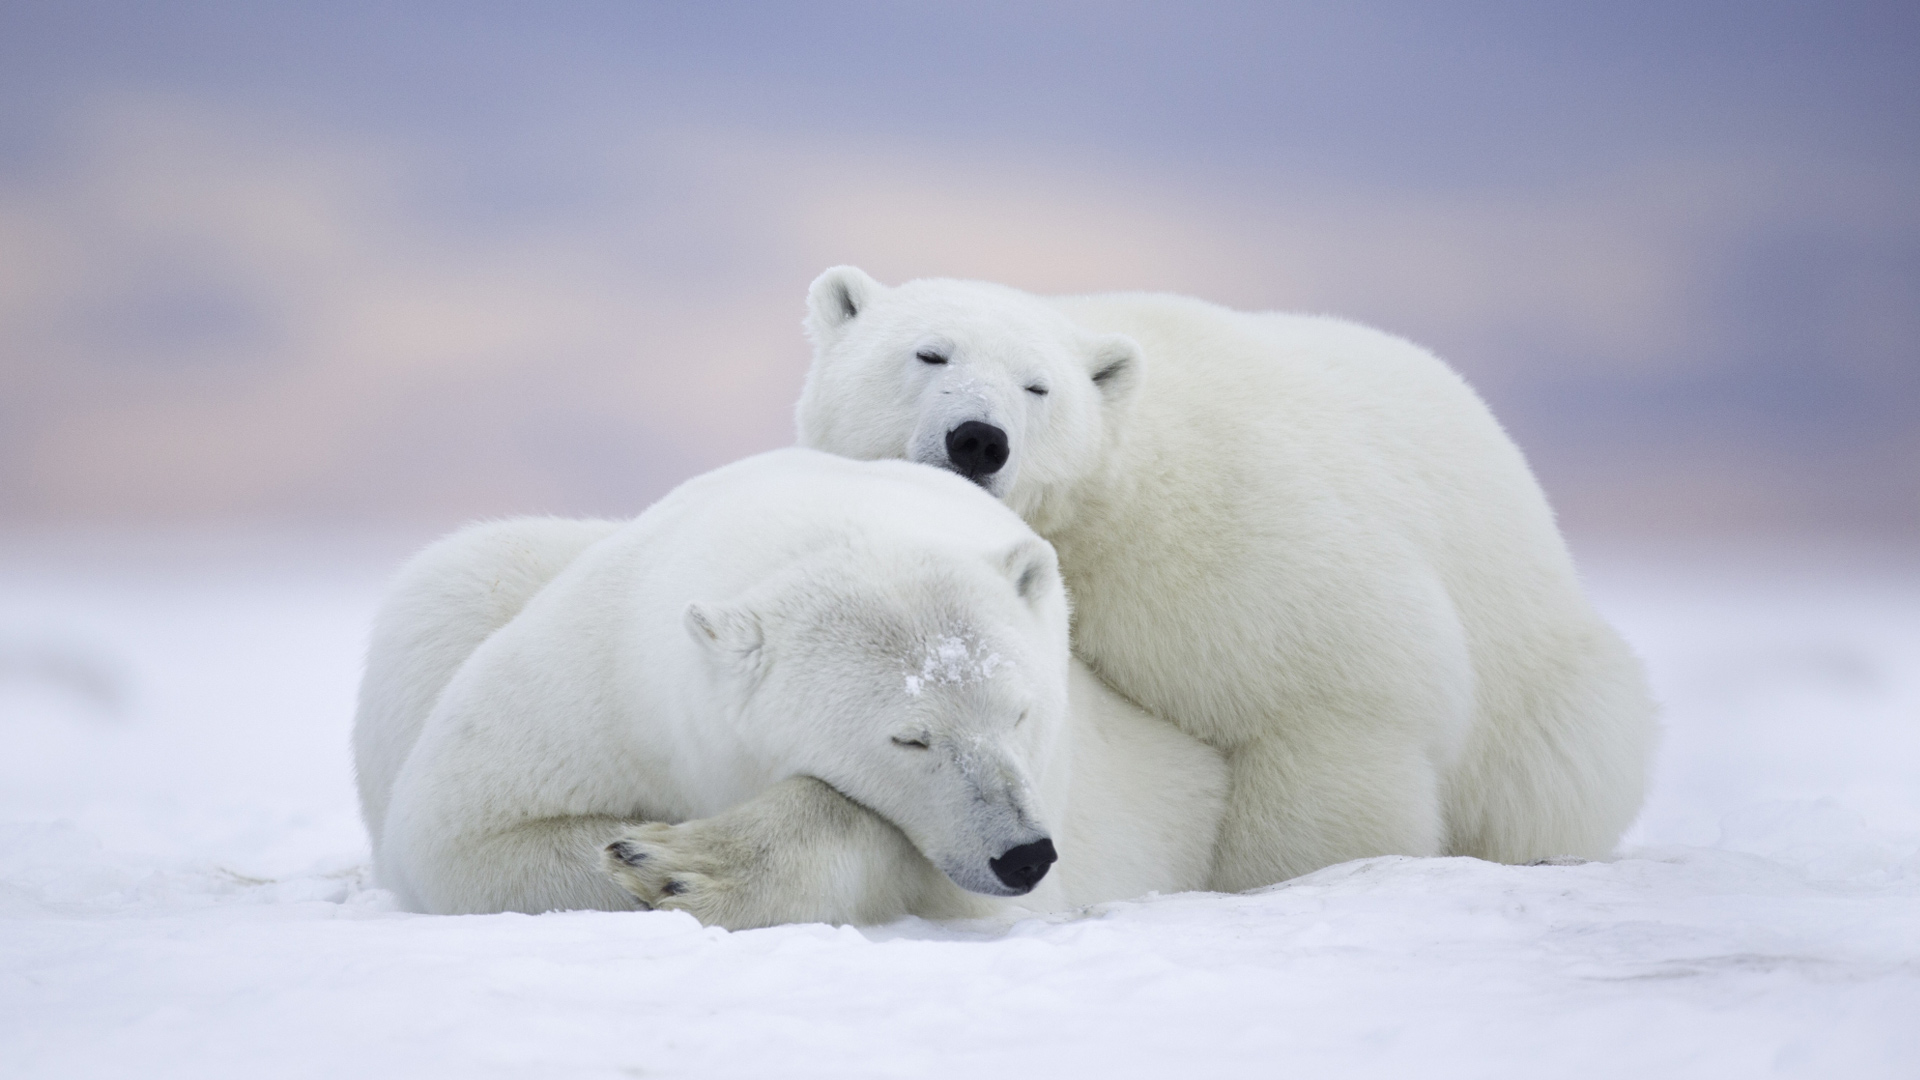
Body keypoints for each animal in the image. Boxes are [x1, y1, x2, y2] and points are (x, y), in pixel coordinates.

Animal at [353, 445, 1221, 926]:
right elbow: (461, 834)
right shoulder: (600, 683)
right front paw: (643, 854)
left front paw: (684, 863)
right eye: (910, 737)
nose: (1023, 855)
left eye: (1020, 713)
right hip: (461, 591)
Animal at [798, 267, 1666, 883]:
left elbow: (1336, 699)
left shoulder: (1235, 540)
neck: (1109, 500)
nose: (979, 438)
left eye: (1037, 386)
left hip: (1543, 687)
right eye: (929, 352)